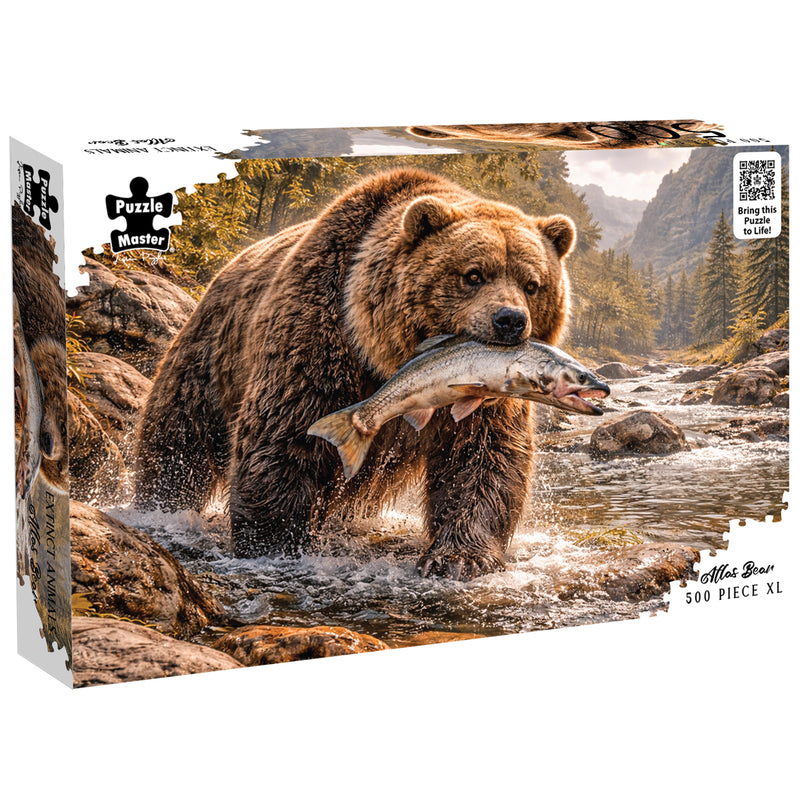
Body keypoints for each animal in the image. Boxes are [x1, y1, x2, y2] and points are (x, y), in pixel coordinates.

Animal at [134, 168, 575, 580]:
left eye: (532, 284)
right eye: (473, 274)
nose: (510, 320)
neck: (386, 356)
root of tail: (223, 271)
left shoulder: (487, 393)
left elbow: (483, 457)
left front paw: (460, 558)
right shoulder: (323, 334)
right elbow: (285, 436)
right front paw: (275, 542)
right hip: (210, 354)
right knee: (178, 436)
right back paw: (160, 502)